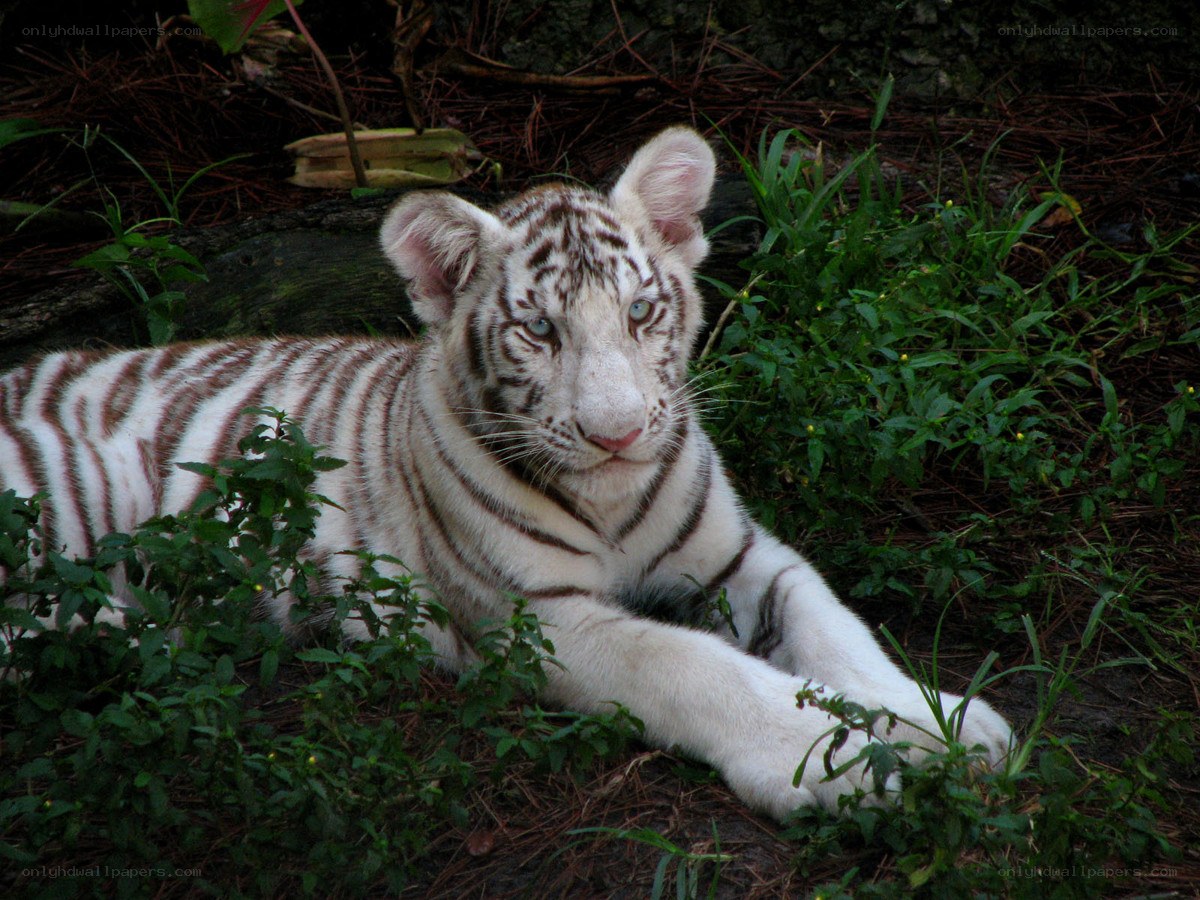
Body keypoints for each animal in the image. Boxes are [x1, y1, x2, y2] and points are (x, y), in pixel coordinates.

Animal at [0, 127, 1012, 821]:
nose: (617, 435)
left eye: (641, 312)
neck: (612, 502)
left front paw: (944, 722)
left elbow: (833, 625)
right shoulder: (545, 620)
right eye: (539, 330)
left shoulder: (739, 555)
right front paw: (841, 761)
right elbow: (696, 669)